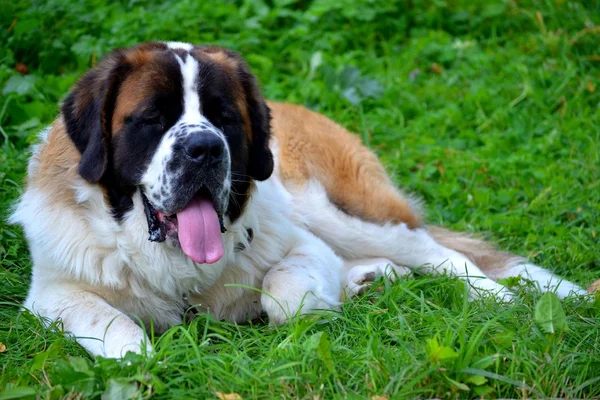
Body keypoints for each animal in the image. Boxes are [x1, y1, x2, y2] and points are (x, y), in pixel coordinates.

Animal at [9, 42, 584, 358]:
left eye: (224, 117)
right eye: (152, 117)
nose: (204, 148)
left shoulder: (301, 245)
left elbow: (285, 296)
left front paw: (308, 305)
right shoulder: (52, 292)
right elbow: (105, 320)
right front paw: (135, 356)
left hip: (332, 207)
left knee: (434, 251)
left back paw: (499, 297)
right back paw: (370, 277)